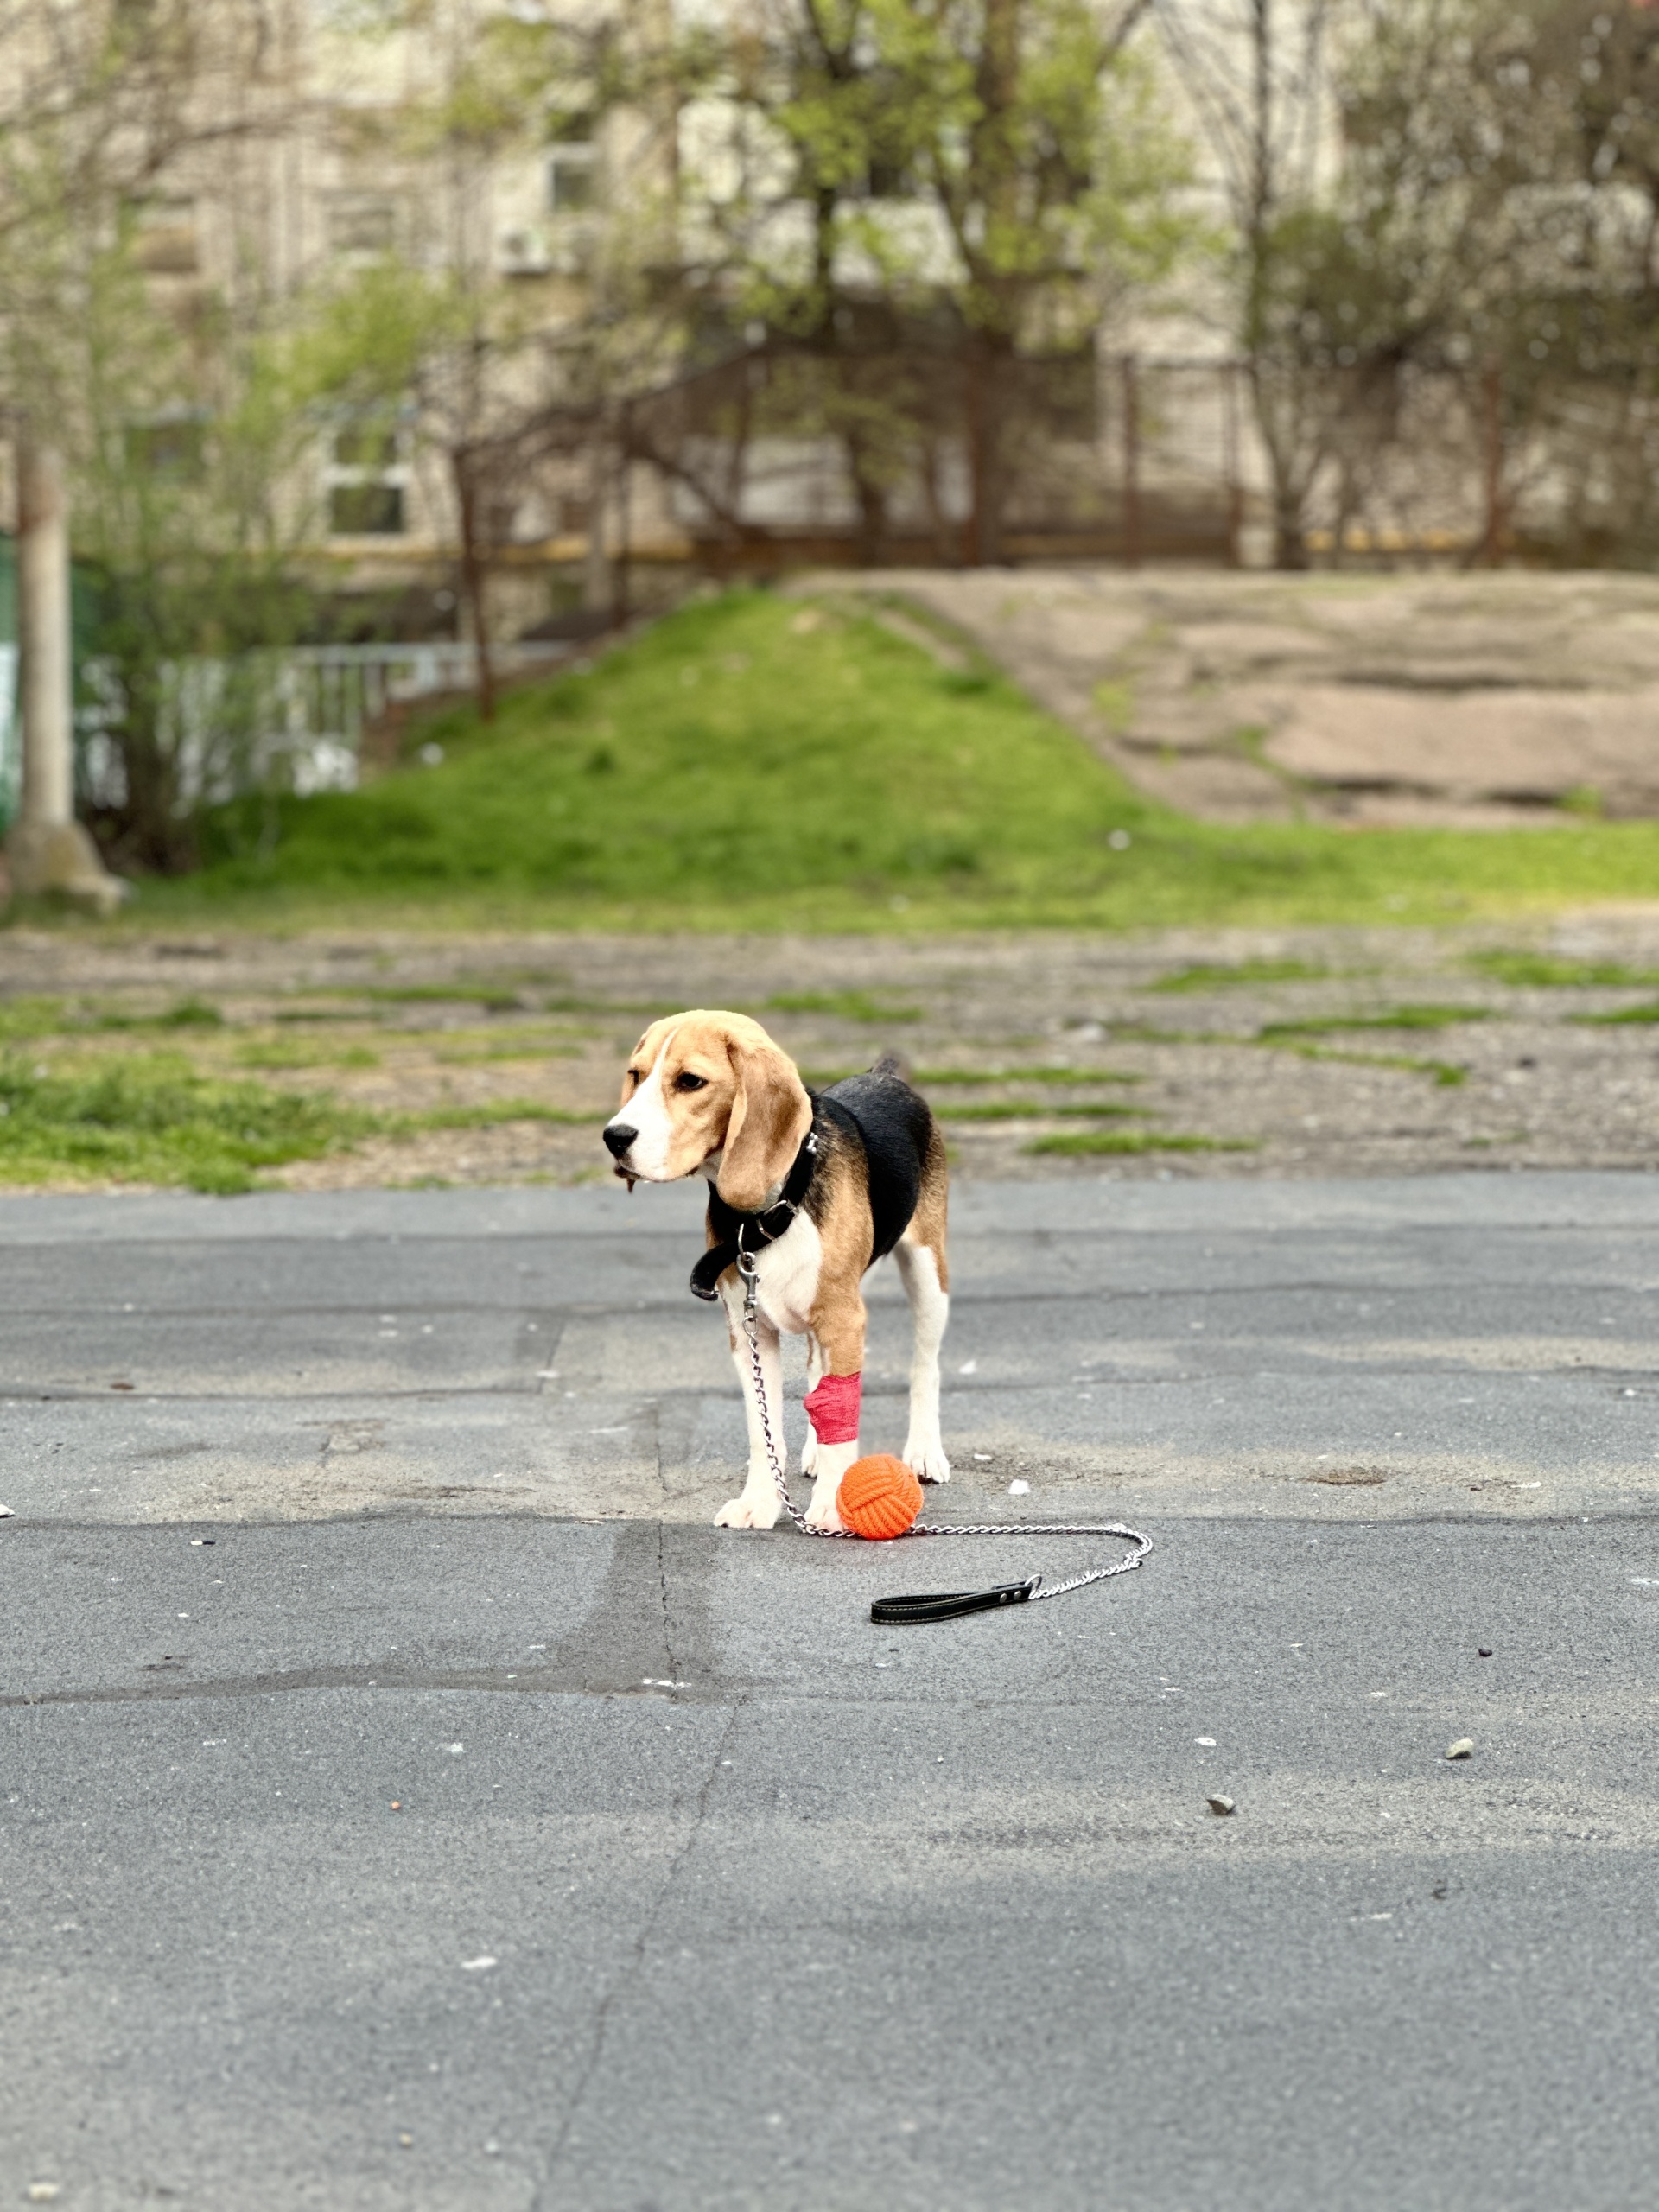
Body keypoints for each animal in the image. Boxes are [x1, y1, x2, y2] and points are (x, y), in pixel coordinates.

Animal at [606, 1013, 946, 1530]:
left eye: (690, 1082)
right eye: (636, 1074)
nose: (614, 1137)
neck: (772, 1209)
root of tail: (883, 1076)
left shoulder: (843, 1320)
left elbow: (842, 1419)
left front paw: (833, 1507)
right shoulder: (749, 1330)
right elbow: (761, 1426)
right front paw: (760, 1502)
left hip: (928, 1275)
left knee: (925, 1365)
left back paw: (925, 1452)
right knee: (815, 1373)